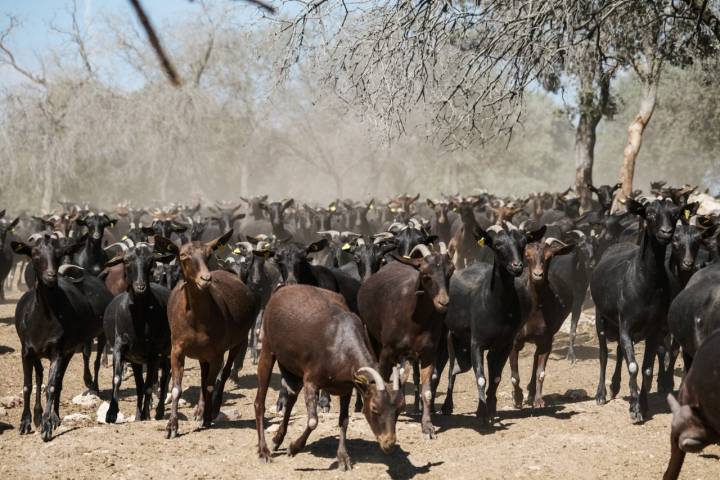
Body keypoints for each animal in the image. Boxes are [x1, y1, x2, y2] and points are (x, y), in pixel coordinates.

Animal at [162, 230, 258, 438]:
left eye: (208, 255)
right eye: (184, 255)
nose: (205, 279)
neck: (196, 321)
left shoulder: (217, 352)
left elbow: (210, 384)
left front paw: (206, 417)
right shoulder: (177, 349)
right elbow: (177, 388)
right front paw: (172, 426)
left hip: (238, 341)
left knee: (224, 371)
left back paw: (211, 410)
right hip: (202, 353)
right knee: (204, 375)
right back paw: (200, 409)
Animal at [255, 284, 404, 470]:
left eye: (400, 409)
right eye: (375, 408)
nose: (389, 444)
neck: (340, 346)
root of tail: (280, 289)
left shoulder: (347, 387)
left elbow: (344, 420)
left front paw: (343, 457)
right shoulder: (311, 380)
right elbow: (313, 421)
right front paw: (294, 448)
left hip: (292, 368)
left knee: (290, 397)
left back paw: (277, 439)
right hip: (267, 347)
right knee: (259, 402)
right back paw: (264, 451)